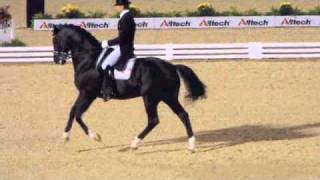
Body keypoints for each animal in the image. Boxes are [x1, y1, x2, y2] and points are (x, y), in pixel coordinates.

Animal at [52, 24, 205, 151]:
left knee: (154, 120)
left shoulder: (88, 93)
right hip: (167, 97)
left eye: (55, 40)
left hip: (150, 97)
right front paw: (65, 136)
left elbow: (78, 114)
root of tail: (172, 67)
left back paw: (134, 143)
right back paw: (191, 145)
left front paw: (96, 137)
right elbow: (72, 111)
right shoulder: (84, 93)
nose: (57, 60)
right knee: (182, 115)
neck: (89, 60)